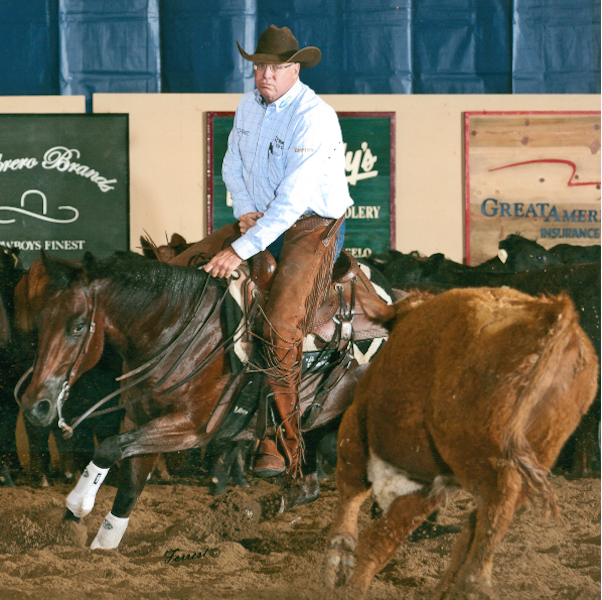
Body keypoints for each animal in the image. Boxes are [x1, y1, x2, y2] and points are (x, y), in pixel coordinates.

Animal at [17, 251, 376, 552]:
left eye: (78, 326)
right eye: (40, 322)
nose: (36, 405)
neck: (177, 332)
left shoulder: (191, 427)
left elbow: (107, 447)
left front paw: (77, 507)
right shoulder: (141, 418)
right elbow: (129, 486)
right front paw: (96, 543)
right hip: (318, 424)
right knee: (308, 487)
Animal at [324, 288, 596, 600]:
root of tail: (551, 313)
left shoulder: (359, 422)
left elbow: (354, 490)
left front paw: (342, 561)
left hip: (482, 459)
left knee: (495, 505)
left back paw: (471, 582)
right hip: (535, 456)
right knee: (484, 519)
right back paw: (455, 585)